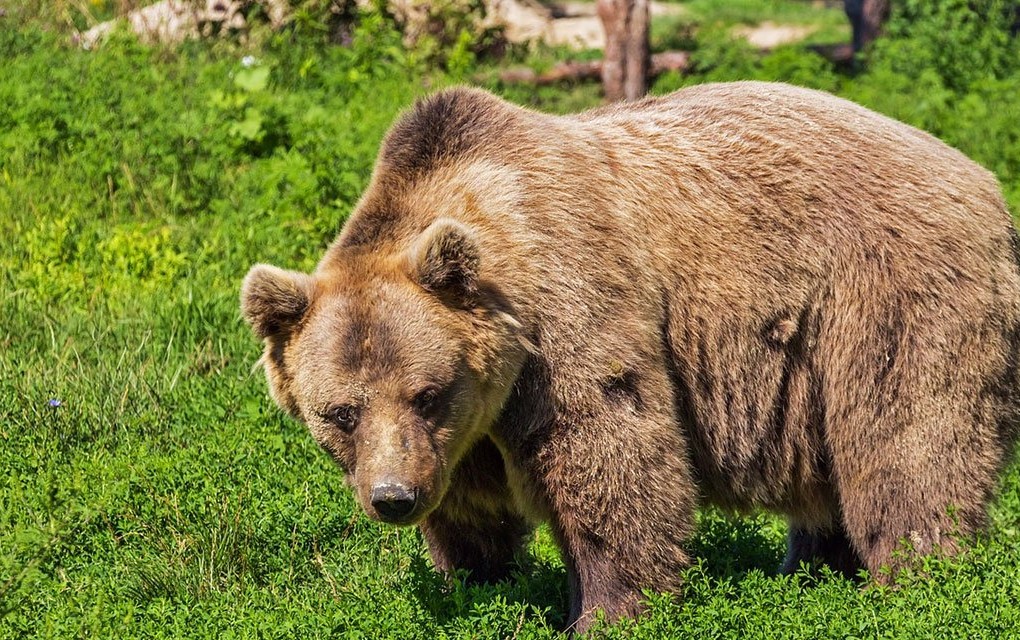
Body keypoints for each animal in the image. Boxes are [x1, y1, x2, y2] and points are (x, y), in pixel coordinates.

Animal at [240, 82, 1020, 632]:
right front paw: (476, 583)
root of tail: (984, 182)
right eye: (340, 413)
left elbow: (611, 454)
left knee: (908, 442)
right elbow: (470, 513)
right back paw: (813, 571)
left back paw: (918, 579)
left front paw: (606, 610)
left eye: (427, 393)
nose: (393, 497)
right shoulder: (465, 436)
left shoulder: (569, 313)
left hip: (887, 295)